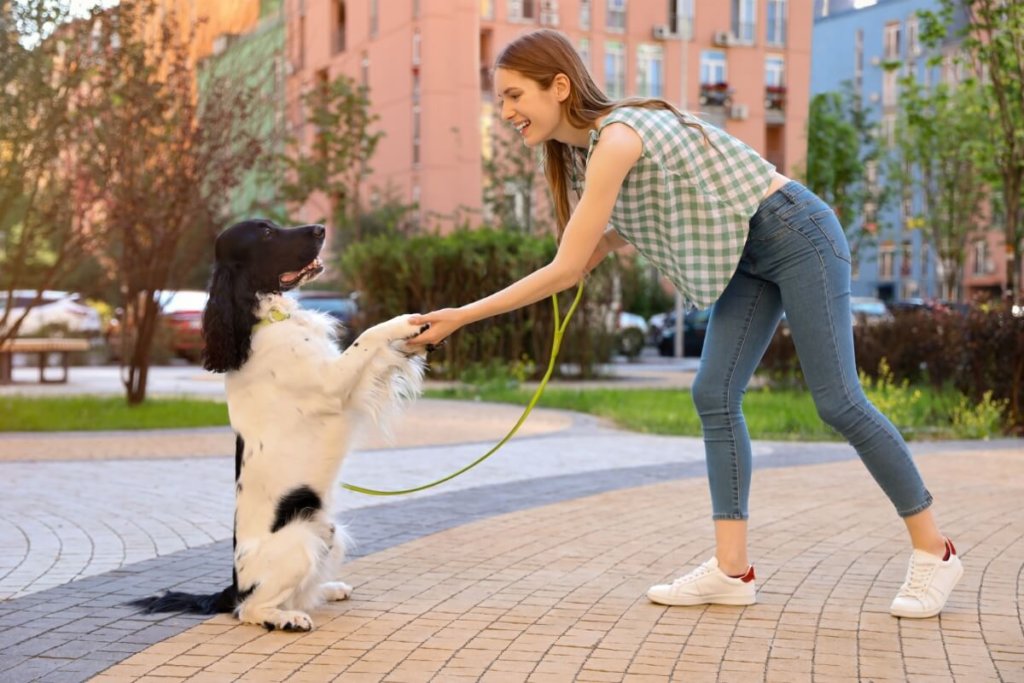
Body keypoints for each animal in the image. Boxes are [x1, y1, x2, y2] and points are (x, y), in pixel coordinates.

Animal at [133, 219, 428, 630]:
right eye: (267, 234)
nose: (321, 229)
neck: (265, 319)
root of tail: (234, 586)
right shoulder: (334, 383)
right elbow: (369, 337)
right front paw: (403, 323)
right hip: (300, 541)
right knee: (250, 610)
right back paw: (288, 619)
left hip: (327, 531)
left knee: (296, 593)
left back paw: (329, 589)